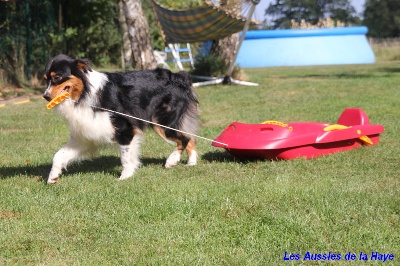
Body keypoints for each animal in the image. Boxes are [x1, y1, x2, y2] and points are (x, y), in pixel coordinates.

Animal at [43, 54, 198, 183]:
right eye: (46, 80)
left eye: (57, 77)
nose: (45, 96)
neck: (85, 94)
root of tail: (178, 77)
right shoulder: (85, 135)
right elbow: (59, 155)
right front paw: (52, 177)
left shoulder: (125, 129)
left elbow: (125, 156)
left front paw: (125, 176)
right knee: (189, 137)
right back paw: (191, 163)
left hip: (162, 122)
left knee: (184, 138)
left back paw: (172, 160)